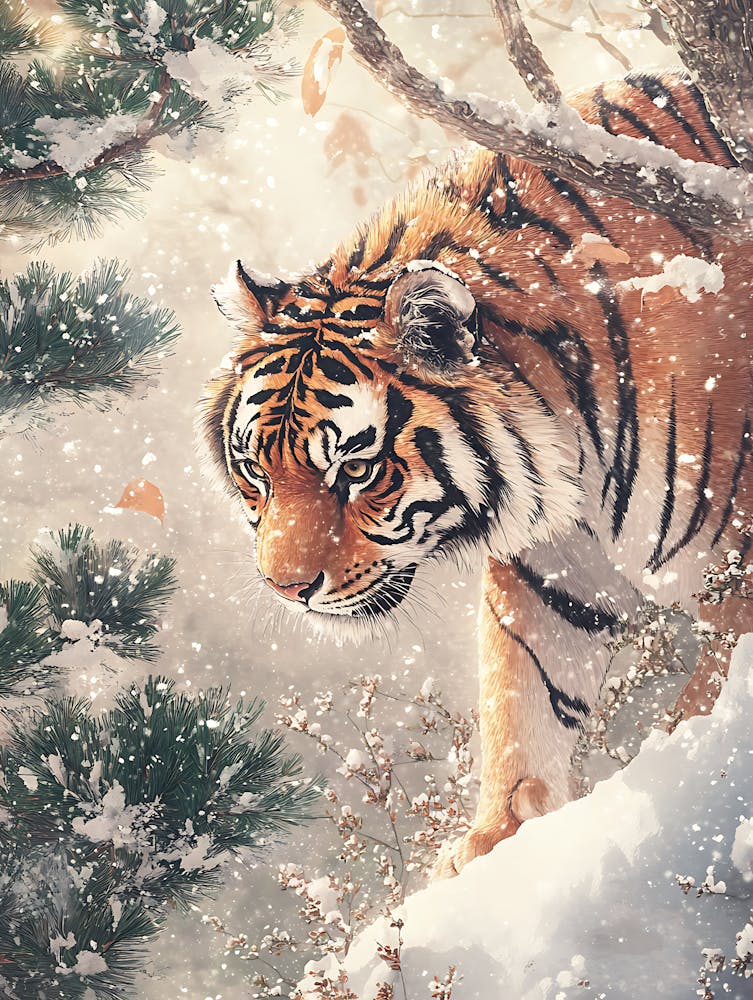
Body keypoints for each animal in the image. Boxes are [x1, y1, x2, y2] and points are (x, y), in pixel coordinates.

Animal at [200, 71, 753, 877]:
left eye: (356, 469)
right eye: (253, 471)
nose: (286, 588)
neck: (575, 443)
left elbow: (714, 683)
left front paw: (674, 751)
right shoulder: (552, 572)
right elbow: (520, 696)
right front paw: (493, 839)